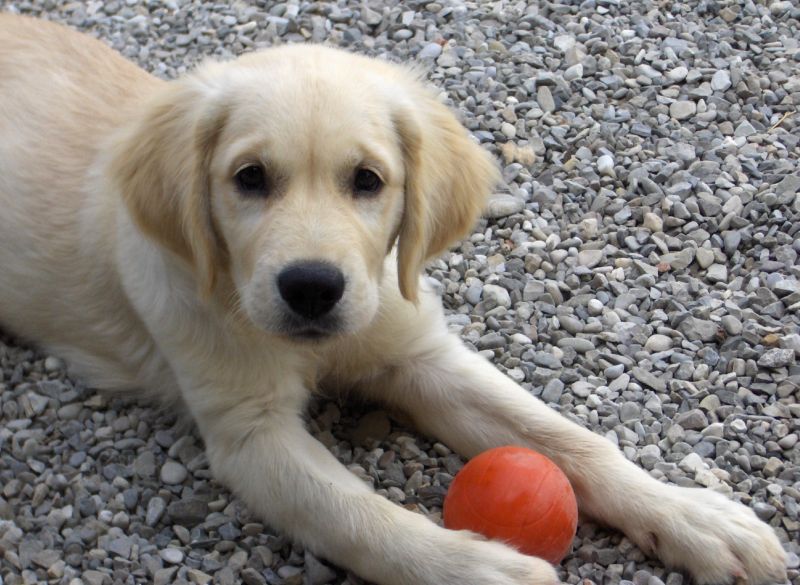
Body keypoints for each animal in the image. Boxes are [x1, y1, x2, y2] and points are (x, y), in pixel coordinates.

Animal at [0, 12, 788, 584]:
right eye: (249, 178)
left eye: (367, 180)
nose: (312, 287)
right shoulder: (250, 432)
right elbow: (362, 517)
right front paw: (484, 568)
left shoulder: (421, 352)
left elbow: (569, 437)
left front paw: (697, 518)